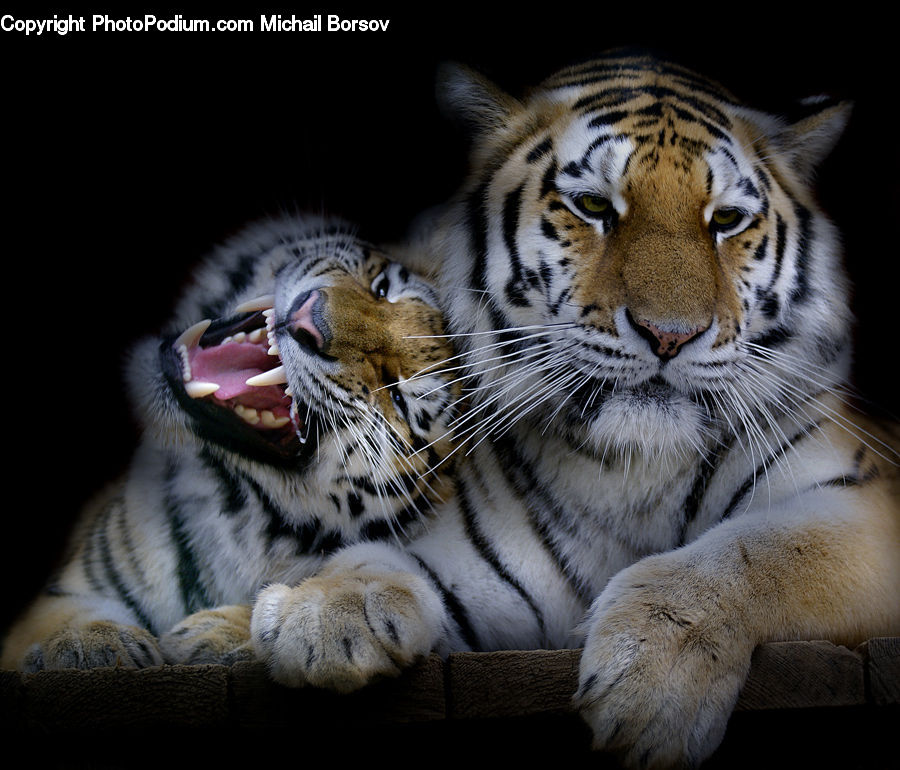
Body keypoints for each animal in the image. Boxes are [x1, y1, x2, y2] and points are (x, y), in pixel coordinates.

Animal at [0, 214, 459, 671]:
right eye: (382, 288)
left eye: (395, 394)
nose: (310, 320)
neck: (233, 505)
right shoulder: (64, 593)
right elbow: (63, 618)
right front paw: (87, 644)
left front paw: (225, 632)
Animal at [246, 54, 900, 767]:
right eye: (592, 207)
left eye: (726, 220)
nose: (669, 335)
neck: (632, 470)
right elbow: (414, 563)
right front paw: (319, 611)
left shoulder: (865, 505)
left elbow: (755, 553)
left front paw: (652, 688)